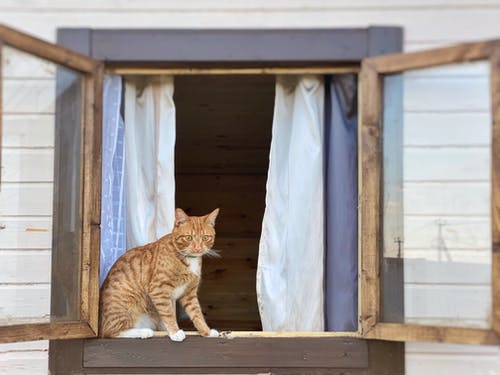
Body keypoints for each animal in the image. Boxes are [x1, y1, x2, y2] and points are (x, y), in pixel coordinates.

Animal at [98, 207, 220, 342]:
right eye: (188, 238)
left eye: (205, 238)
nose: (198, 248)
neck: (187, 258)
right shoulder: (159, 290)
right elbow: (168, 314)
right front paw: (175, 332)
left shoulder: (189, 293)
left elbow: (197, 314)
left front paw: (206, 332)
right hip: (125, 306)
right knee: (110, 331)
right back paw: (144, 332)